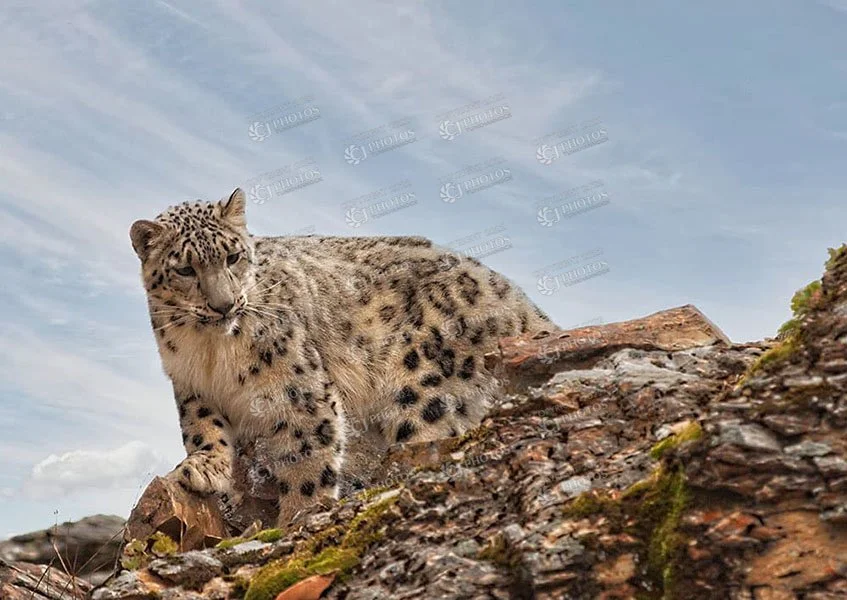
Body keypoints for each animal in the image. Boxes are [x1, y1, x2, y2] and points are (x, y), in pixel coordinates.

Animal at [130, 188, 554, 526]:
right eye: (185, 269)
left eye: (233, 257)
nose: (224, 305)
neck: (210, 351)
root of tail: (521, 305)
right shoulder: (190, 383)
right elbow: (201, 426)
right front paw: (205, 466)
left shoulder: (297, 389)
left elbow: (307, 455)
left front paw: (297, 515)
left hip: (426, 393)